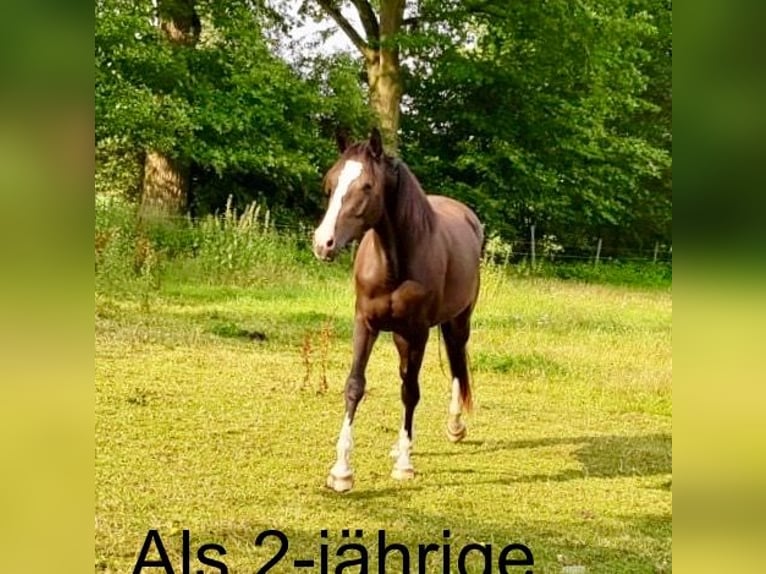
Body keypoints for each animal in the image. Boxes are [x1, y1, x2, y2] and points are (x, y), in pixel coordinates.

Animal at [312, 128, 484, 492]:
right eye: (330, 182)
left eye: (366, 186)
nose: (323, 243)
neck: (393, 265)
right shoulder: (365, 324)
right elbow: (355, 385)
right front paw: (341, 471)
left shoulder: (417, 332)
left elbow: (411, 391)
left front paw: (405, 464)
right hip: (401, 336)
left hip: (456, 321)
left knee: (456, 363)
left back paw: (453, 426)